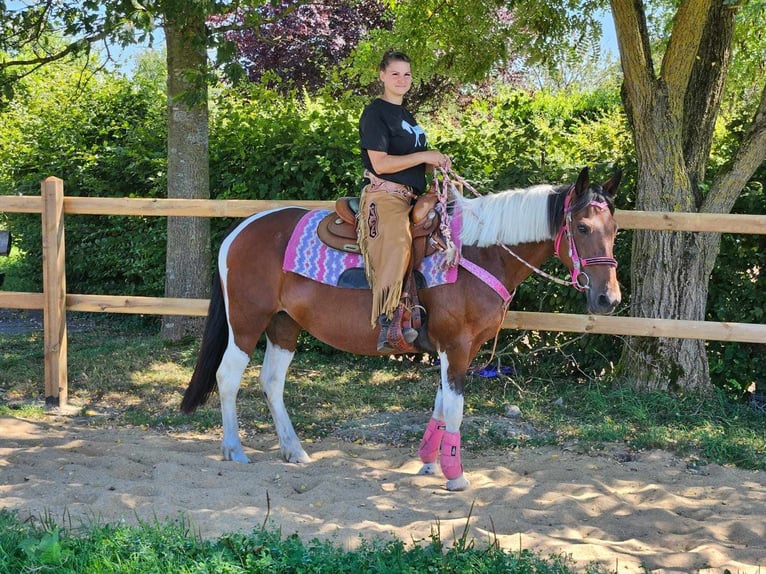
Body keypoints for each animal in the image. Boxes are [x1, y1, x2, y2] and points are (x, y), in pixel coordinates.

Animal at [182, 165, 624, 490]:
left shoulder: (455, 349)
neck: (478, 253)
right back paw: (234, 448)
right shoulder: (456, 346)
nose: (609, 299)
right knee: (227, 376)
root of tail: (239, 231)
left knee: (272, 381)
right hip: (247, 322)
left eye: (614, 229)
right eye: (582, 228)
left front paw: (430, 462)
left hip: (284, 325)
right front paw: (455, 475)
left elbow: (442, 404)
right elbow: (456, 408)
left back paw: (294, 450)